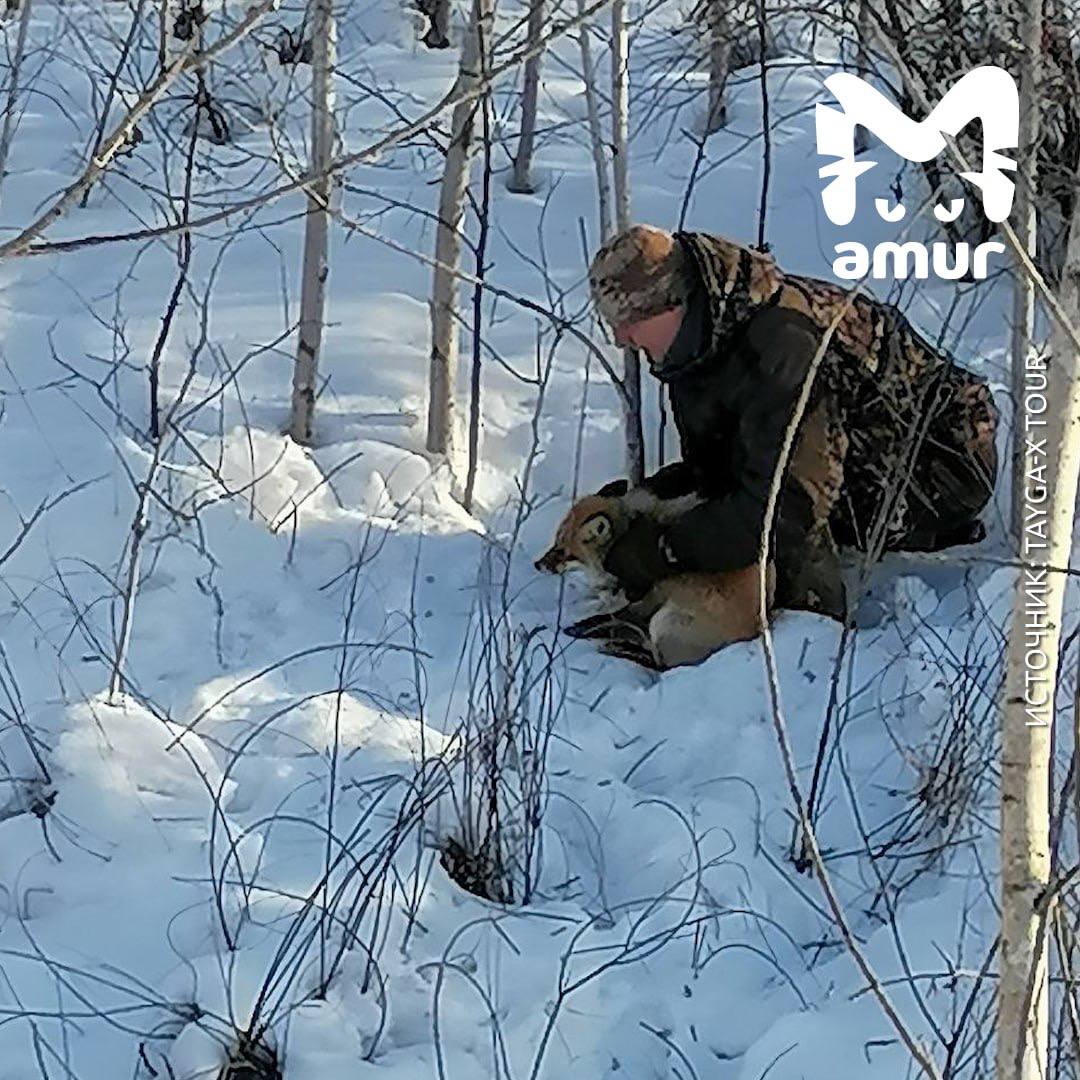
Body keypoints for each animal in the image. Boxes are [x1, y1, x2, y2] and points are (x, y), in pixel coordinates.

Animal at [533, 490, 777, 665]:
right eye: (554, 544)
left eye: (563, 552)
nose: (536, 565)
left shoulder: (649, 597)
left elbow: (606, 619)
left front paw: (576, 629)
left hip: (663, 621)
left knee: (661, 664)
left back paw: (623, 649)